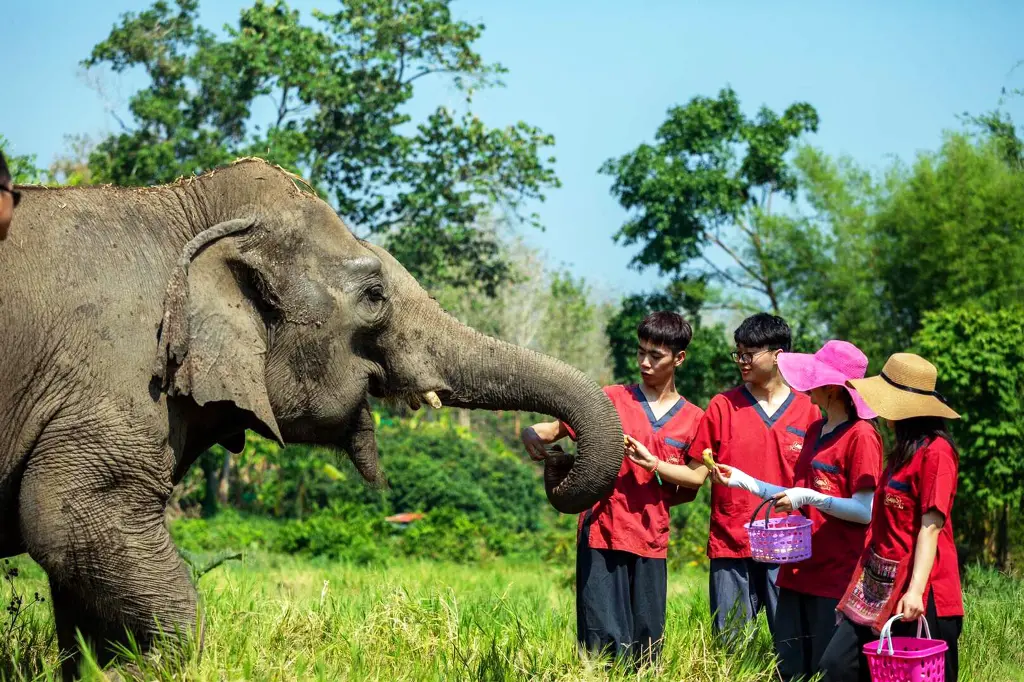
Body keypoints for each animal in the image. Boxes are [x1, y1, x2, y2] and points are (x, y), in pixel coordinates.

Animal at [0, 157, 622, 675]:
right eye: (374, 295)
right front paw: (138, 668)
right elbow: (69, 514)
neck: (182, 202)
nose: (553, 452)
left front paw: (103, 667)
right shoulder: (114, 377)